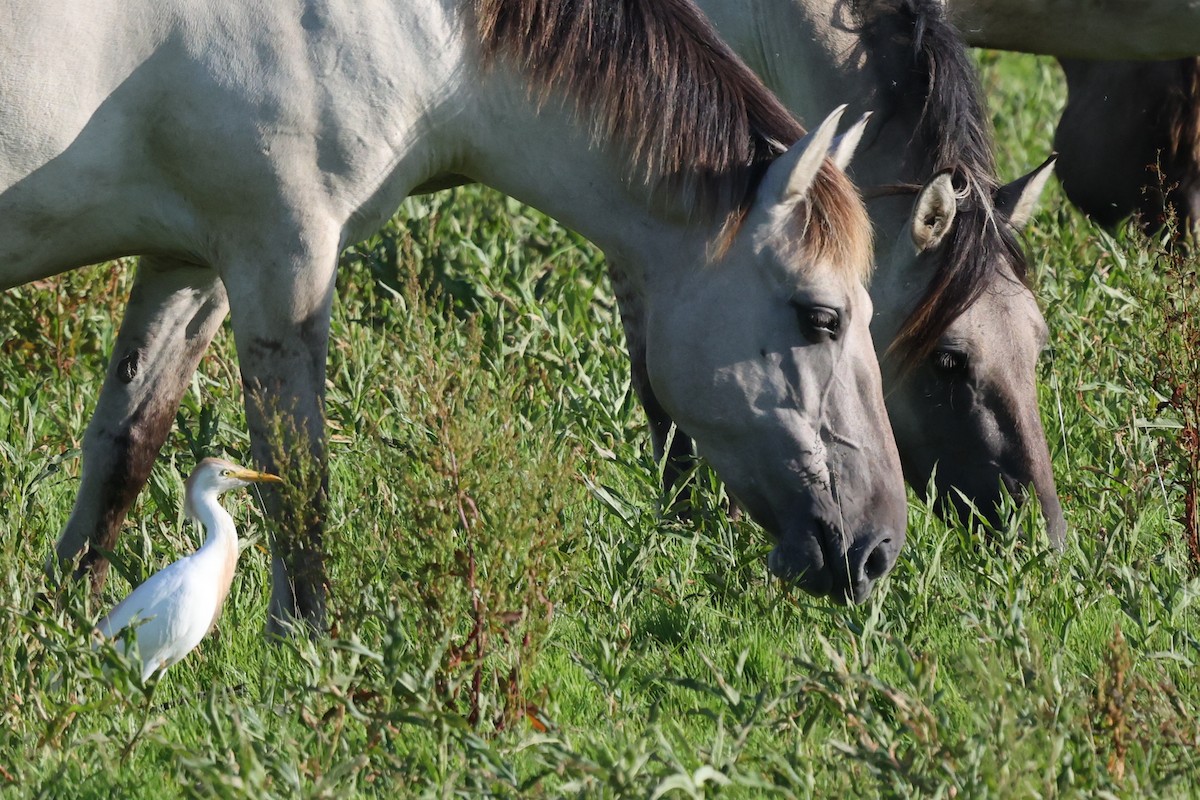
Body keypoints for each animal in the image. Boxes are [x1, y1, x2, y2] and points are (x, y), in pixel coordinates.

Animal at [2, 0, 907, 623]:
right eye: (821, 318)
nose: (880, 549)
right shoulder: (281, 257)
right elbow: (299, 477)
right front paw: (304, 643)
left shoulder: (192, 265)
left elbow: (124, 446)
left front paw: (73, 621)